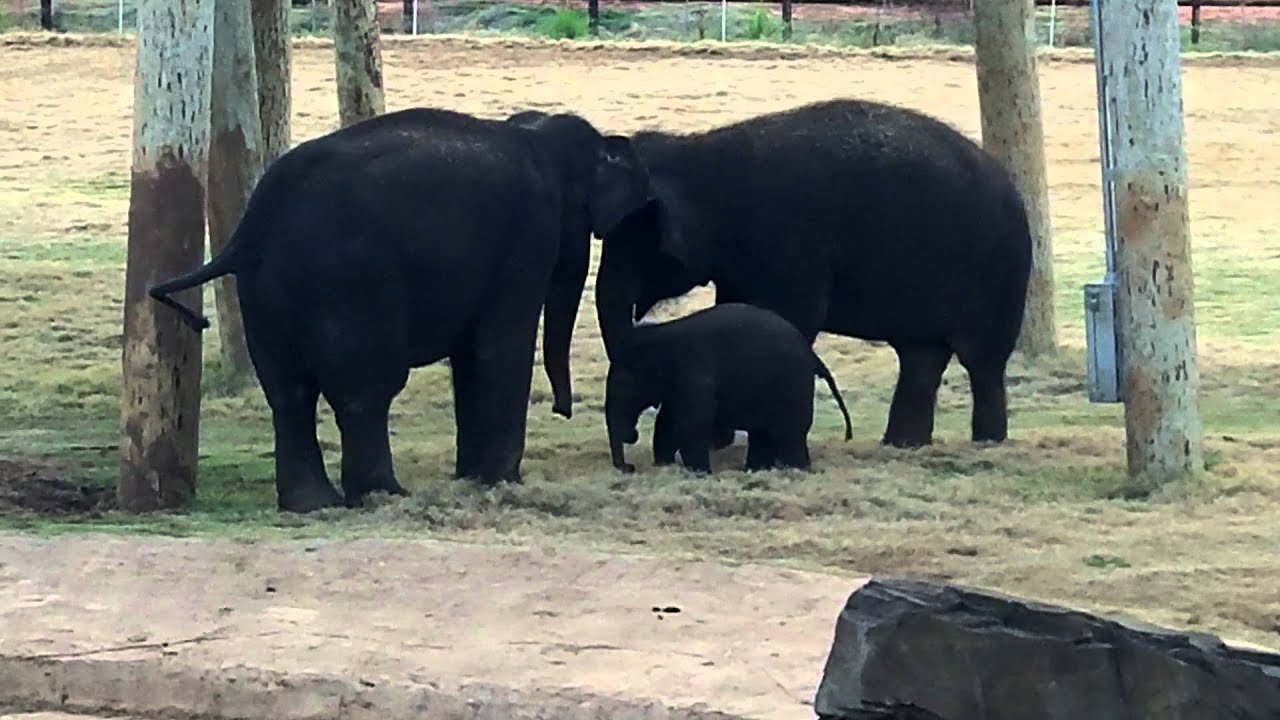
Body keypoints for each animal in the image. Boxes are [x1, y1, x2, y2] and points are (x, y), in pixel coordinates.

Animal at [148, 107, 655, 513]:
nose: (561, 410)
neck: (538, 133)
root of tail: (253, 227)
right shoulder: (529, 234)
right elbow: (497, 348)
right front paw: (501, 483)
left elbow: (471, 357)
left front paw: (472, 480)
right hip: (349, 285)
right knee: (367, 388)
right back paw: (383, 495)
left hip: (262, 291)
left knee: (289, 393)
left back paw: (314, 505)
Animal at [593, 98, 1033, 450]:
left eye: (631, 238)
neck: (701, 153)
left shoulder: (789, 246)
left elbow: (791, 317)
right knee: (921, 355)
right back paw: (903, 446)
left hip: (1000, 275)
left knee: (982, 360)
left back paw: (987, 442)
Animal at [604, 302, 853, 474]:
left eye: (624, 386)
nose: (630, 467)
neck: (661, 335)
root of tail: (814, 357)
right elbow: (668, 420)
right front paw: (665, 465)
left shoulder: (694, 376)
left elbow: (690, 425)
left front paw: (701, 473)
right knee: (763, 435)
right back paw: (754, 470)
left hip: (792, 388)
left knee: (789, 435)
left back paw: (796, 471)